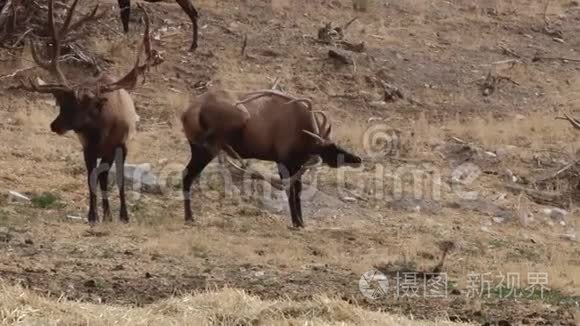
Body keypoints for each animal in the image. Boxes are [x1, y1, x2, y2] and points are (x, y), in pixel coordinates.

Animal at [18, 0, 162, 224]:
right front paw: (93, 215)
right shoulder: (87, 148)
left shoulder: (121, 145)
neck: (102, 131)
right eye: (61, 103)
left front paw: (123, 215)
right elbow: (91, 179)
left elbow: (118, 180)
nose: (54, 125)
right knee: (100, 177)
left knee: (107, 176)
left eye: (79, 105)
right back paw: (105, 214)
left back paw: (112, 214)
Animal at [181, 88, 362, 228]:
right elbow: (291, 191)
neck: (303, 136)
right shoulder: (283, 161)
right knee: (193, 169)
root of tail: (187, 113)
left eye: (336, 144)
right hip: (232, 123)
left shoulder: (295, 165)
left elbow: (297, 191)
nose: (357, 159)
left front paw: (301, 222)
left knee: (186, 174)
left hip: (196, 147)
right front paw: (296, 222)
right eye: (330, 148)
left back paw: (188, 216)